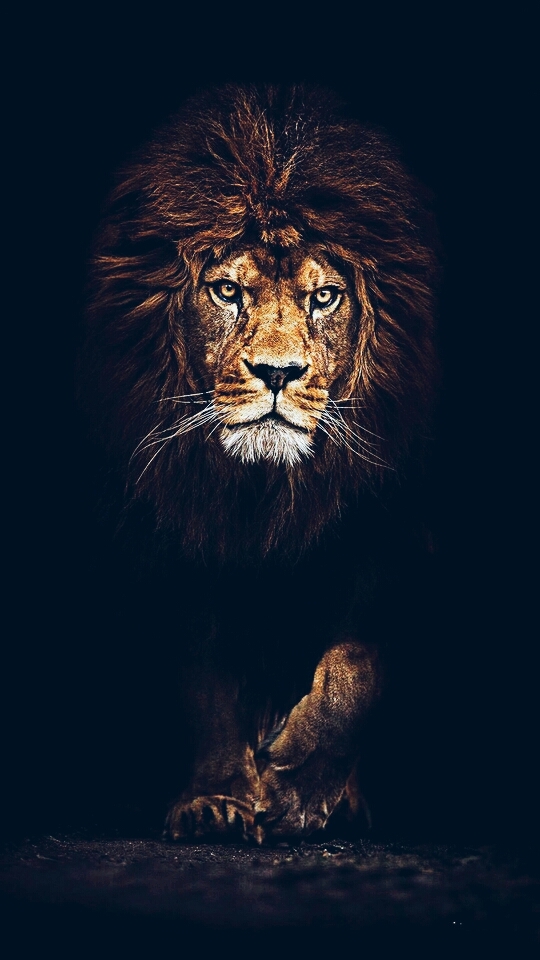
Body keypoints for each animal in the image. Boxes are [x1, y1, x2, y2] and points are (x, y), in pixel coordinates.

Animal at [81, 85, 437, 842]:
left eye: (324, 296)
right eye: (226, 291)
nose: (277, 372)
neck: (264, 493)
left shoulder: (396, 528)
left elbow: (357, 665)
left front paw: (298, 789)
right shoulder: (181, 531)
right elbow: (206, 676)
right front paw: (218, 799)